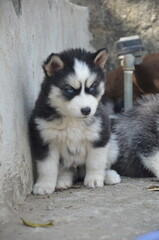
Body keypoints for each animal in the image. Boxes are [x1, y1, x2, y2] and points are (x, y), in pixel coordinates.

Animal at [29, 47, 120, 194]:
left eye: (92, 87)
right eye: (69, 89)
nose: (86, 110)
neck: (73, 119)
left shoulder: (99, 136)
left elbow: (96, 161)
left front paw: (94, 179)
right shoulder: (44, 140)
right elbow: (47, 167)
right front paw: (44, 185)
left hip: (112, 144)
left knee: (105, 164)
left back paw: (109, 175)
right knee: (65, 170)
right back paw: (62, 181)